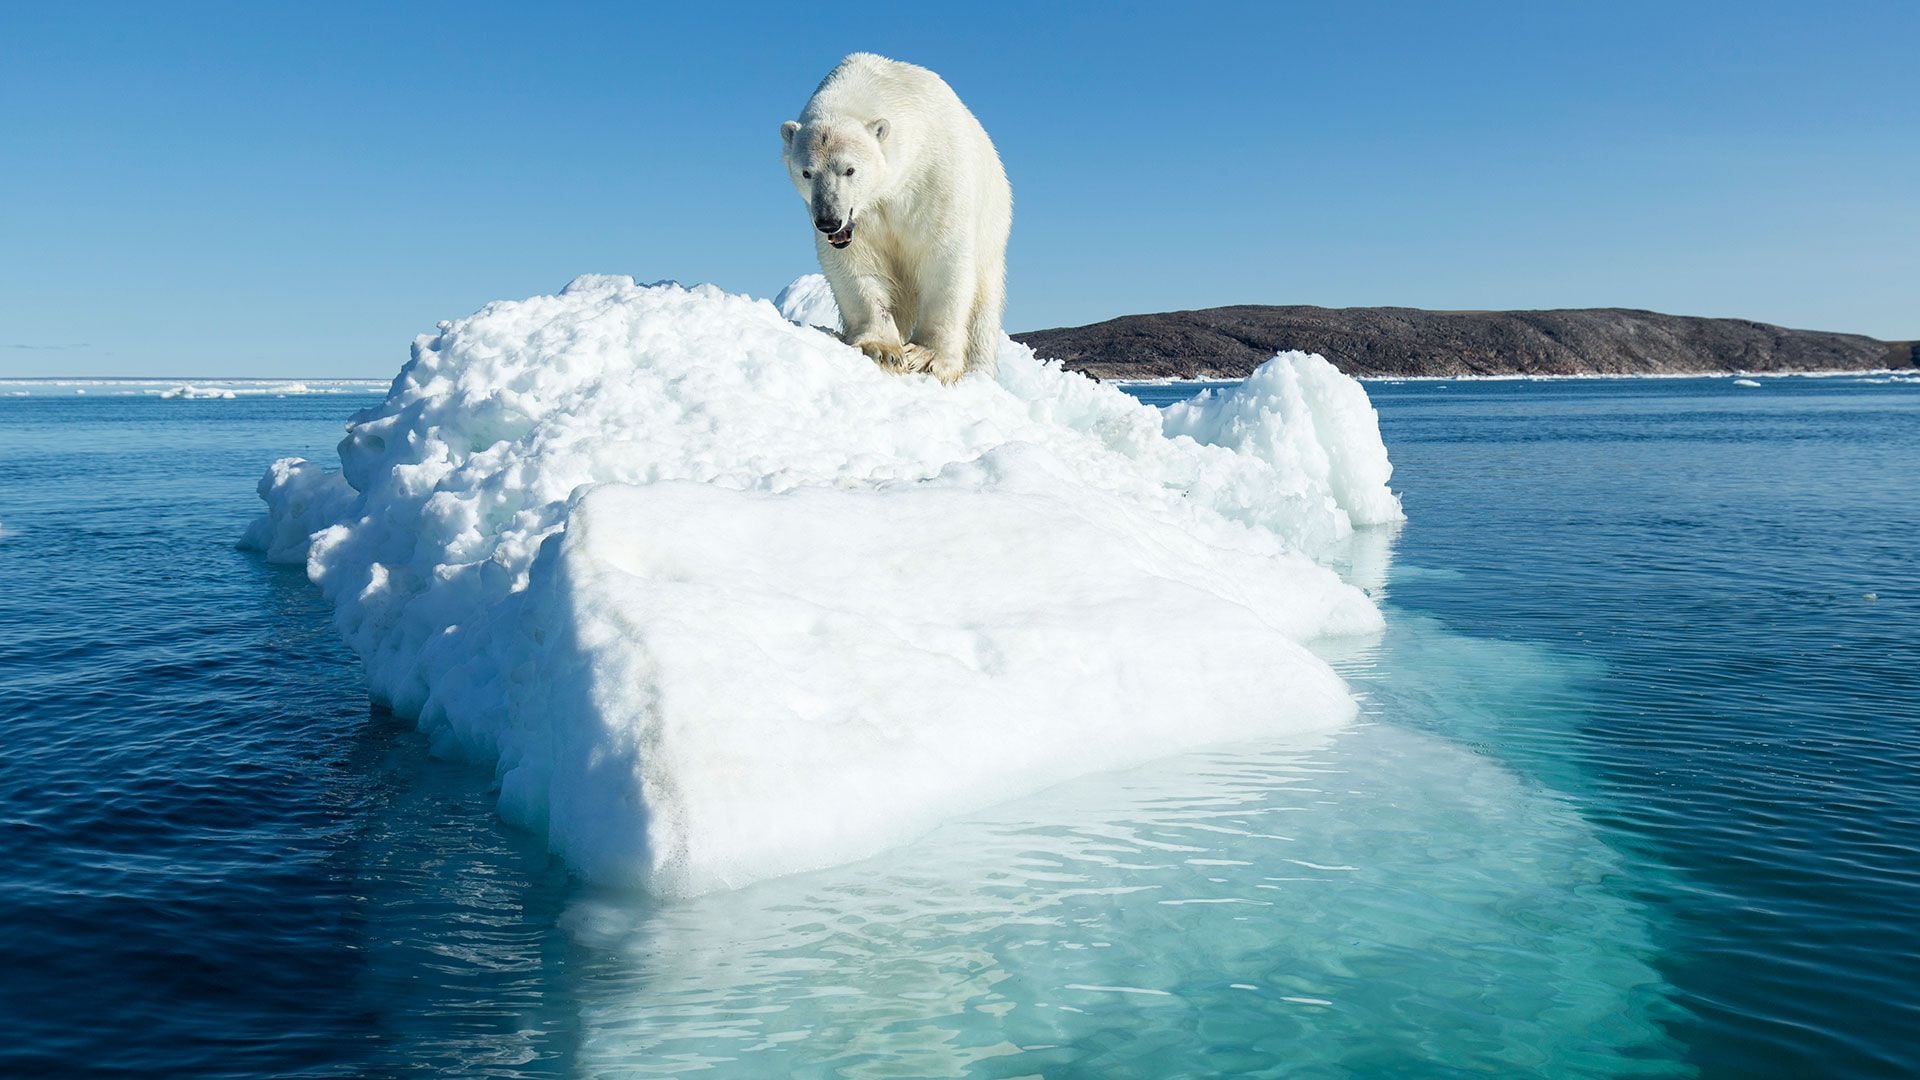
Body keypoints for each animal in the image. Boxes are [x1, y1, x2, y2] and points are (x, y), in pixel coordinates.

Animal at [783, 55, 1021, 382]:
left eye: (850, 169)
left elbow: (944, 257)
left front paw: (928, 356)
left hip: (992, 234)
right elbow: (855, 263)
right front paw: (882, 349)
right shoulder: (862, 218)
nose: (829, 220)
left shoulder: (936, 177)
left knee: (983, 308)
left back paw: (980, 371)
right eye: (807, 172)